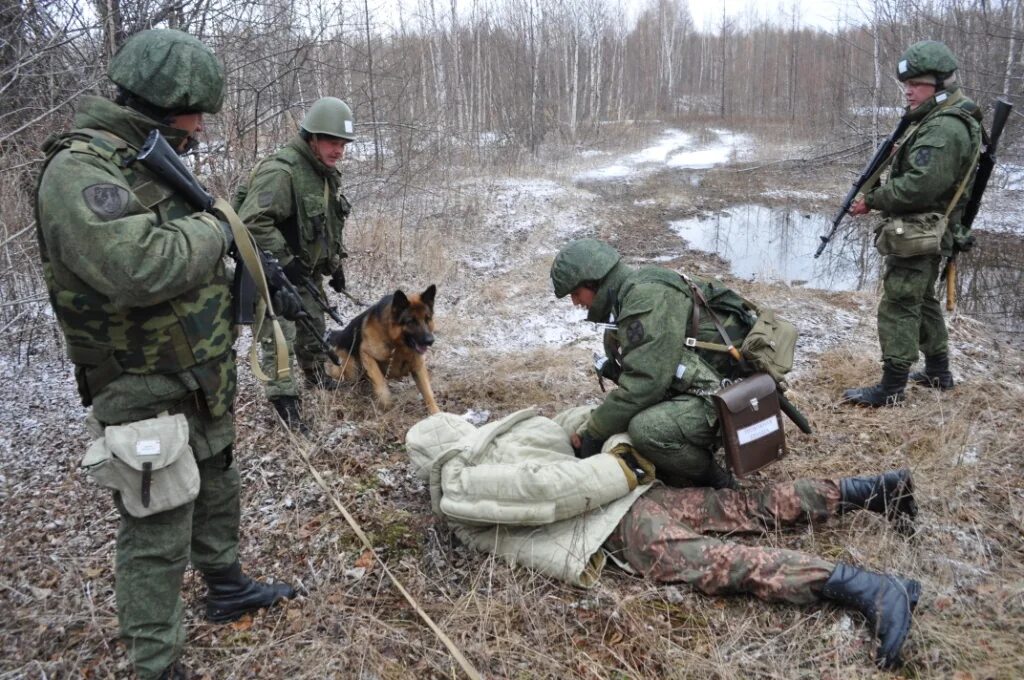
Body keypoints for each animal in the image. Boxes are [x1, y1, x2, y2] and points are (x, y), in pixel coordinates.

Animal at [325, 282, 438, 413]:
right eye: (411, 322)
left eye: (427, 319)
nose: (430, 341)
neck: (396, 343)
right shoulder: (366, 354)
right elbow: (379, 381)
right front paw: (386, 403)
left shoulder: (418, 367)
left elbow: (428, 392)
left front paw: (436, 412)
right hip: (351, 370)